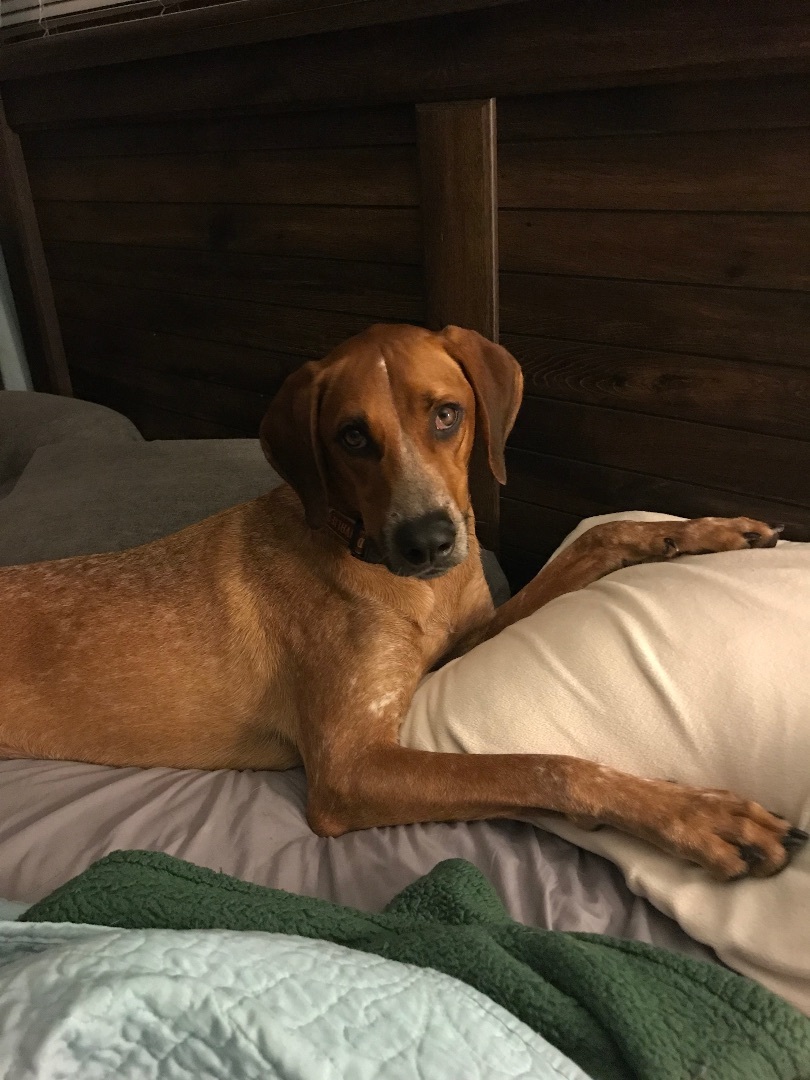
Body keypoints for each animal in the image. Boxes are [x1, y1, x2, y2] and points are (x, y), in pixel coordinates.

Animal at [0, 324, 807, 881]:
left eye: (446, 414)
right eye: (352, 436)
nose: (428, 542)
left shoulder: (457, 643)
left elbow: (596, 542)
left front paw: (702, 532)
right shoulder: (350, 767)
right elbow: (545, 767)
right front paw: (696, 815)